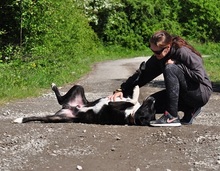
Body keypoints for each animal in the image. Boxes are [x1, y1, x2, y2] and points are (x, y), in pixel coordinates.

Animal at [12, 83, 156, 125]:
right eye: (150, 108)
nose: (154, 99)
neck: (132, 113)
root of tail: (71, 108)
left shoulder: (112, 105)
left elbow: (132, 100)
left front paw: (135, 90)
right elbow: (130, 98)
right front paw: (134, 89)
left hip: (59, 117)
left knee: (58, 103)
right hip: (78, 88)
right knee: (61, 99)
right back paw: (54, 86)